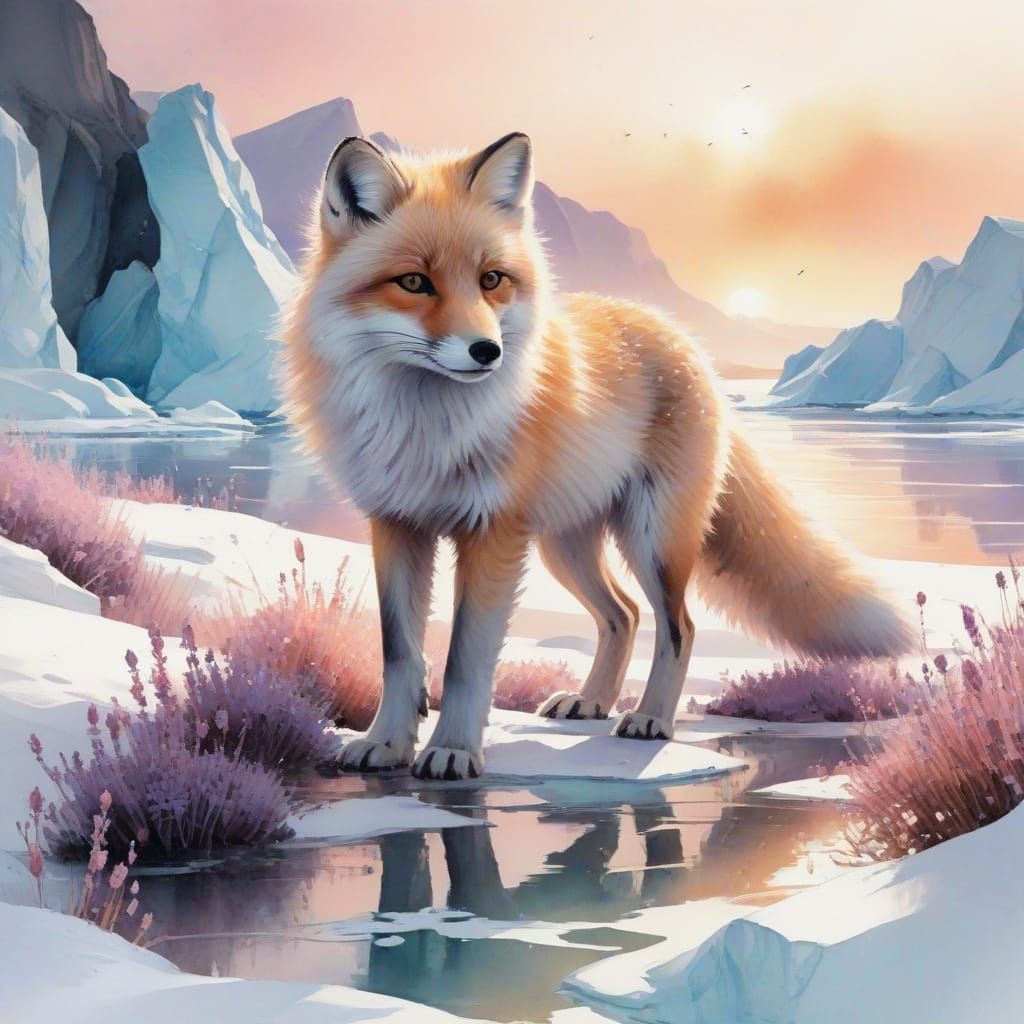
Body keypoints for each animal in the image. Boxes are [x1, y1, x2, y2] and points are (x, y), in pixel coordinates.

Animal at [281, 132, 913, 781]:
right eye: (413, 283)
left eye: (491, 279)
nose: (487, 352)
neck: (427, 429)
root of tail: (683, 340)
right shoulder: (397, 523)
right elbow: (399, 651)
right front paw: (386, 742)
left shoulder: (492, 533)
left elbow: (465, 660)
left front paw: (453, 748)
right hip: (564, 547)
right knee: (624, 614)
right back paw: (592, 701)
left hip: (652, 540)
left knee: (678, 625)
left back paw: (650, 719)